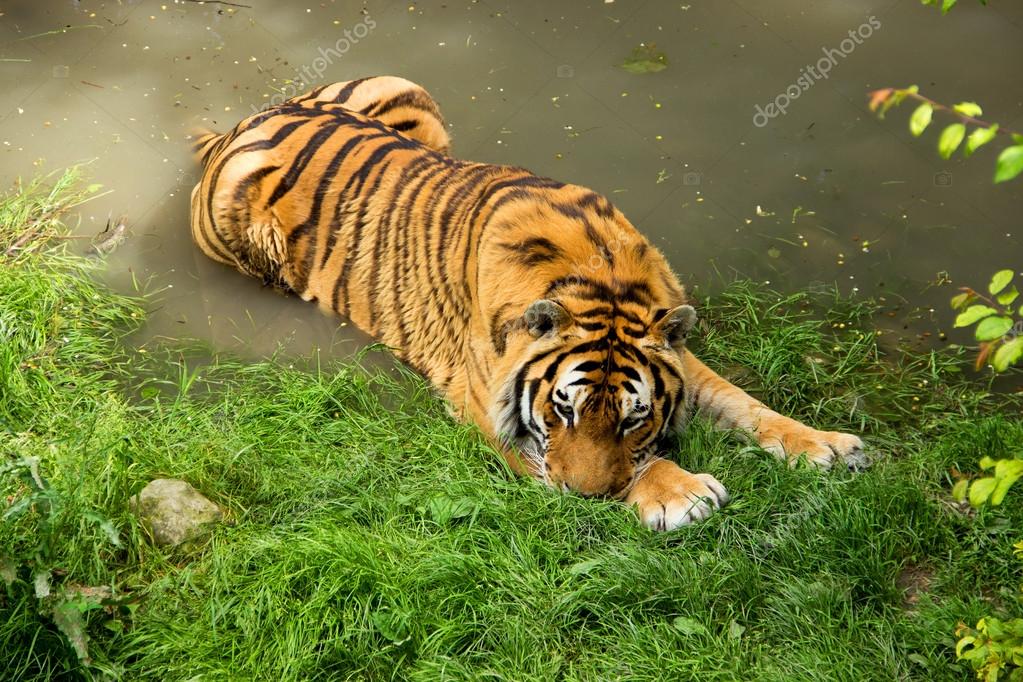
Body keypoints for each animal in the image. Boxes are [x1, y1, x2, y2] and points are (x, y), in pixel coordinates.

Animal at [188, 76, 867, 531]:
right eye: (563, 409)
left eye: (633, 417)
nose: (588, 499)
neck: (601, 278)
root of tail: (247, 121)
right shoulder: (489, 414)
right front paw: (680, 494)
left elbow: (740, 401)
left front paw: (826, 447)